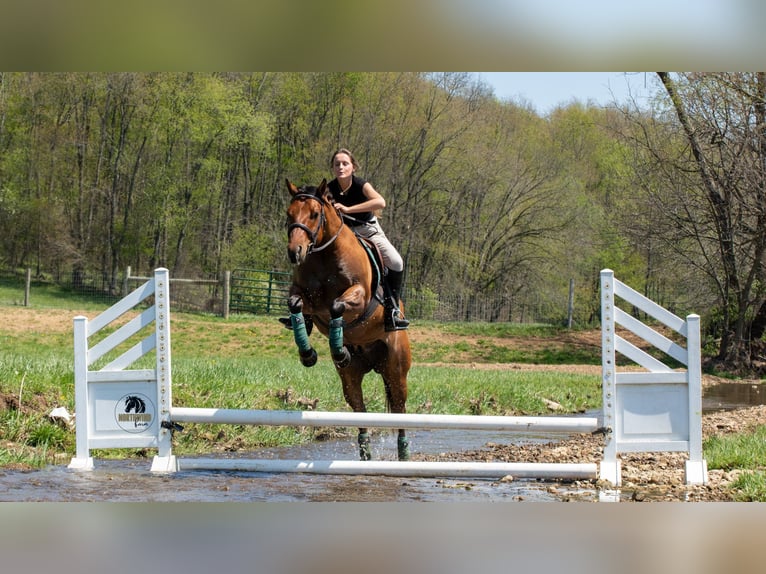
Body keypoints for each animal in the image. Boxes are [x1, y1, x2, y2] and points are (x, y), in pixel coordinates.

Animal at [284, 178, 412, 461]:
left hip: (396, 371)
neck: (324, 256)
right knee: (360, 411)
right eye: (289, 214)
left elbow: (336, 306)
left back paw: (404, 455)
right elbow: (296, 305)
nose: (295, 253)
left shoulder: (360, 296)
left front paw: (338, 350)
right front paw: (308, 353)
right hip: (351, 379)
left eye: (315, 214)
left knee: (400, 412)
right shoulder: (305, 298)